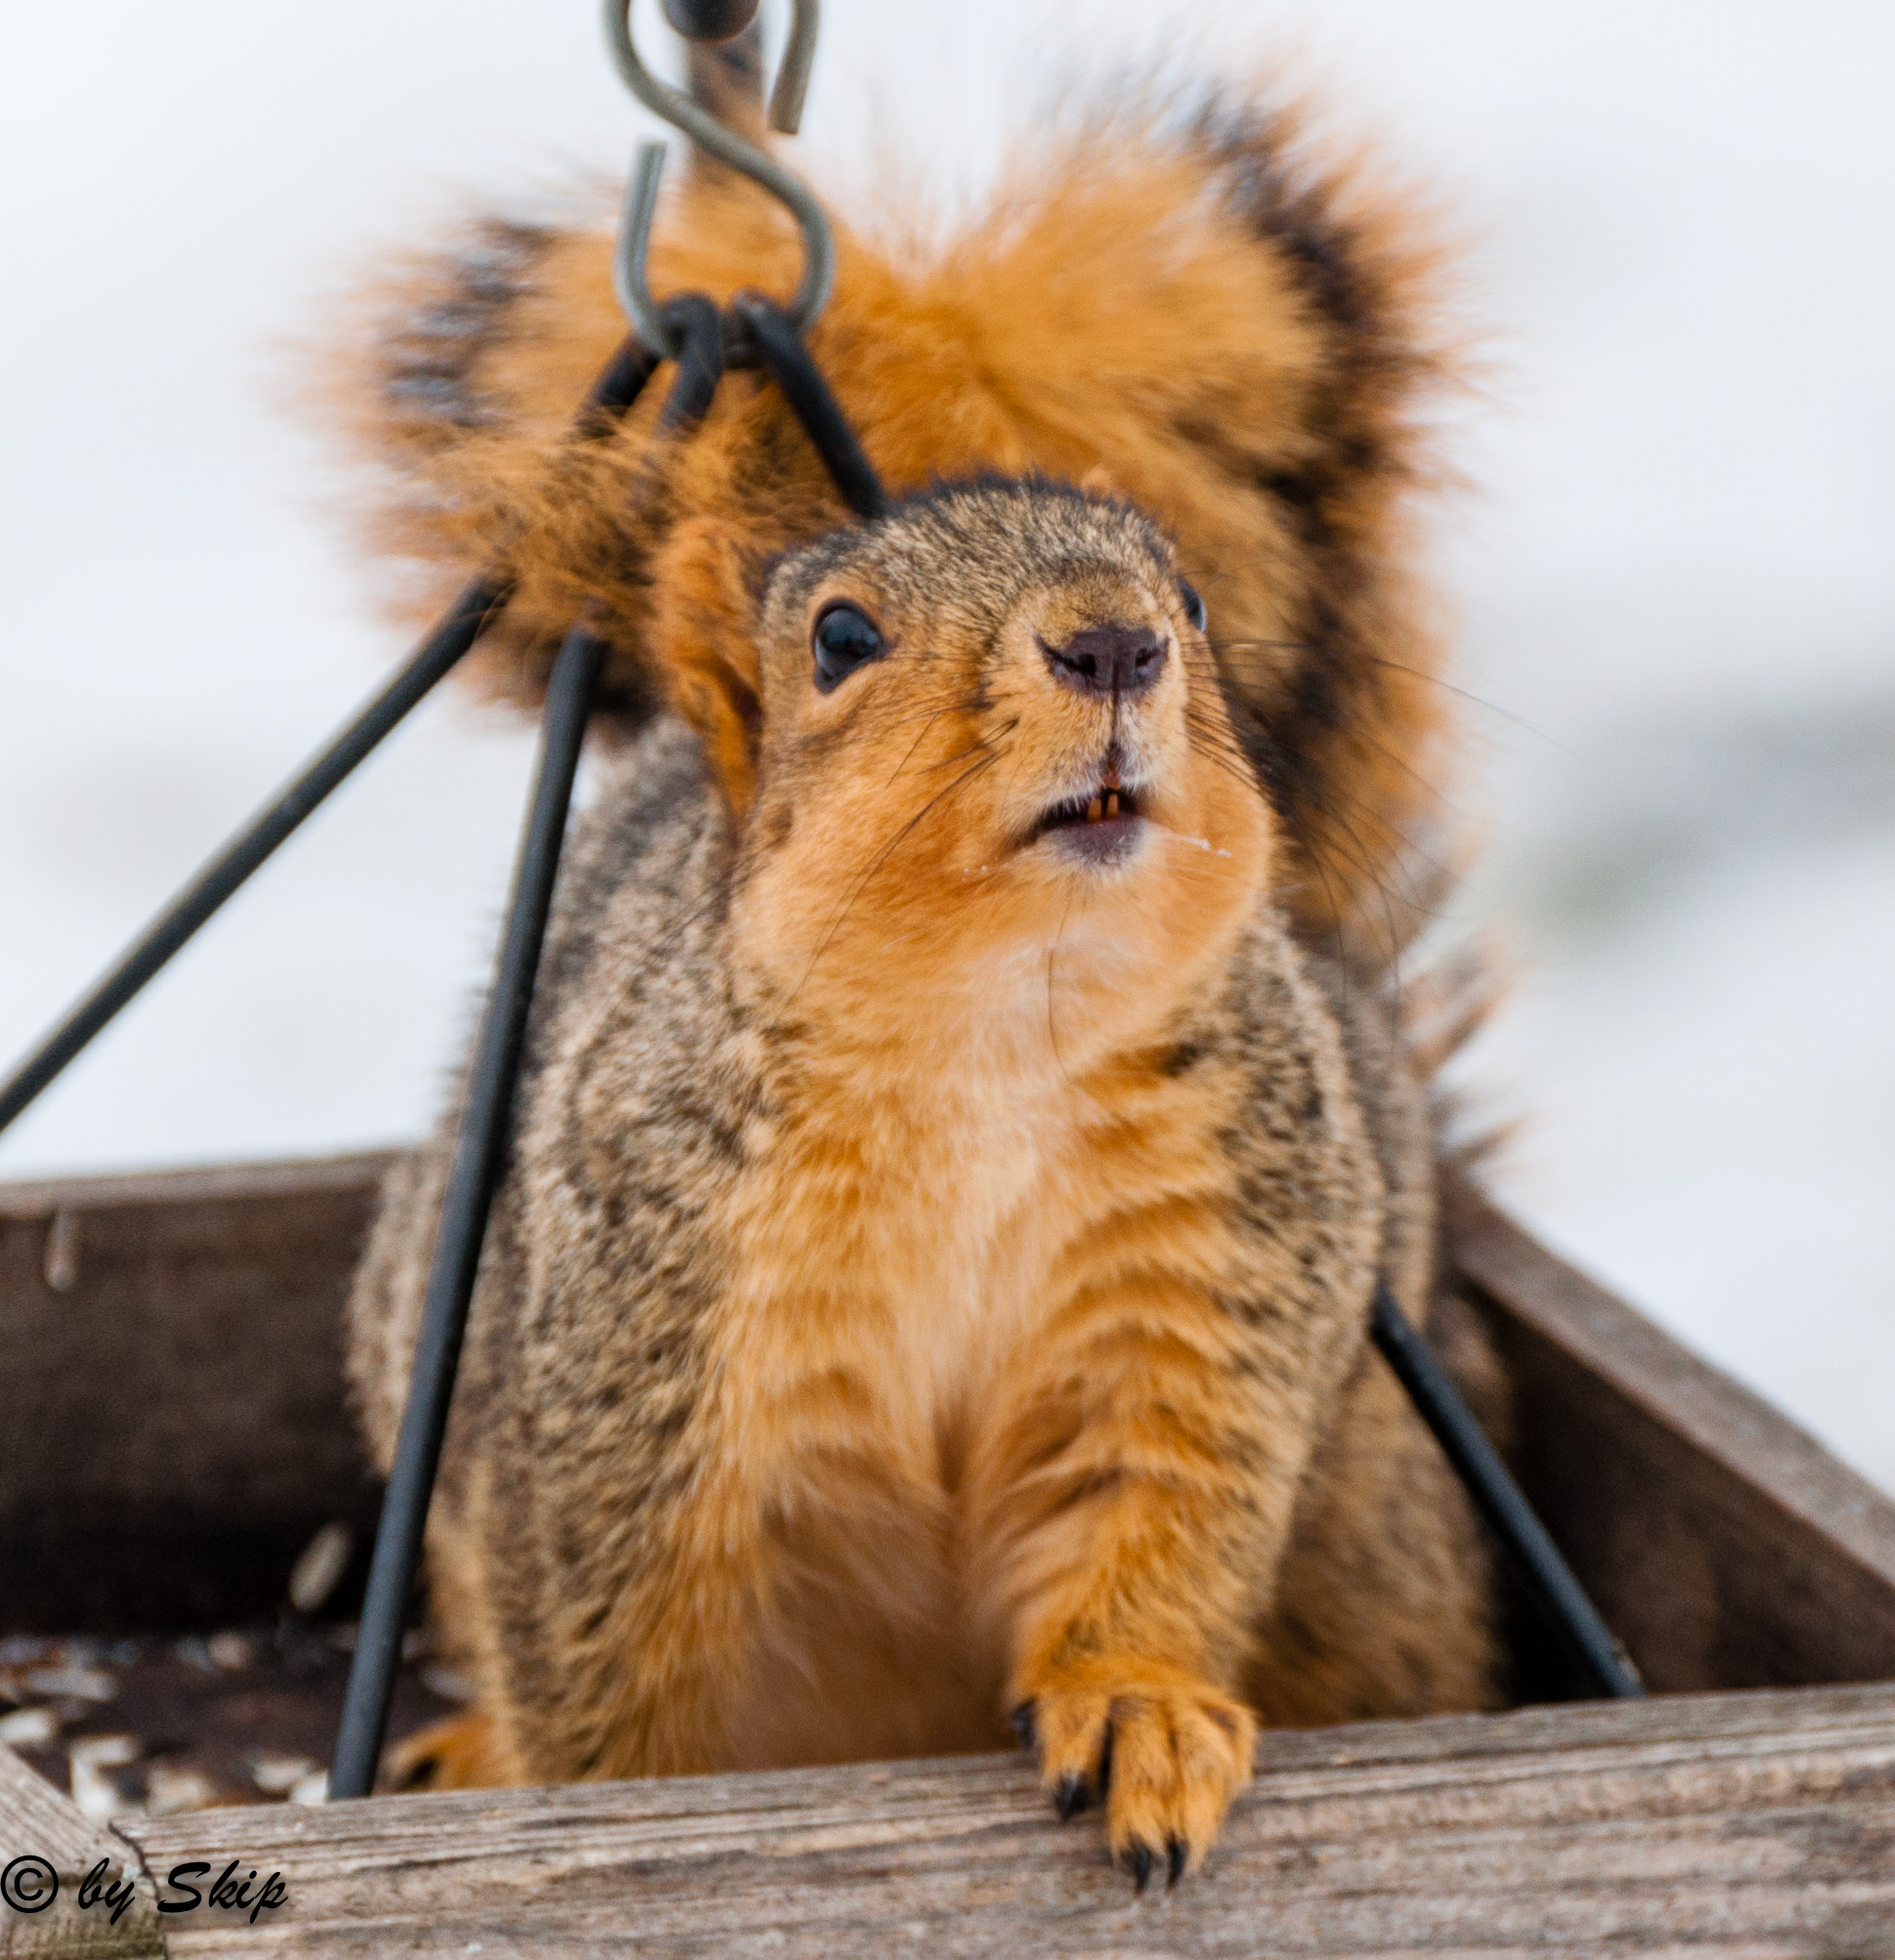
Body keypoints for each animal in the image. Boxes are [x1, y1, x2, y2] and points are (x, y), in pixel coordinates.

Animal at [341, 56, 1506, 1884]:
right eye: (838, 639)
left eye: (1188, 595)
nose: (1116, 639)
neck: (995, 1033)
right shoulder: (620, 1371)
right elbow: (604, 1665)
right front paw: (574, 1817)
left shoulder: (1210, 1275)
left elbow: (1155, 1519)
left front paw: (1138, 1709)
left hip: (1386, 1523)